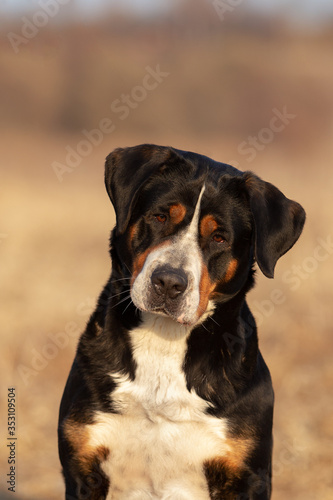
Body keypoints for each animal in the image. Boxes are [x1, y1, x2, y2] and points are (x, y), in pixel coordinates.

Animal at [58, 143, 304, 498]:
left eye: (219, 238)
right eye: (160, 217)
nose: (169, 282)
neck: (163, 342)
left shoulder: (245, 476)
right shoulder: (84, 468)